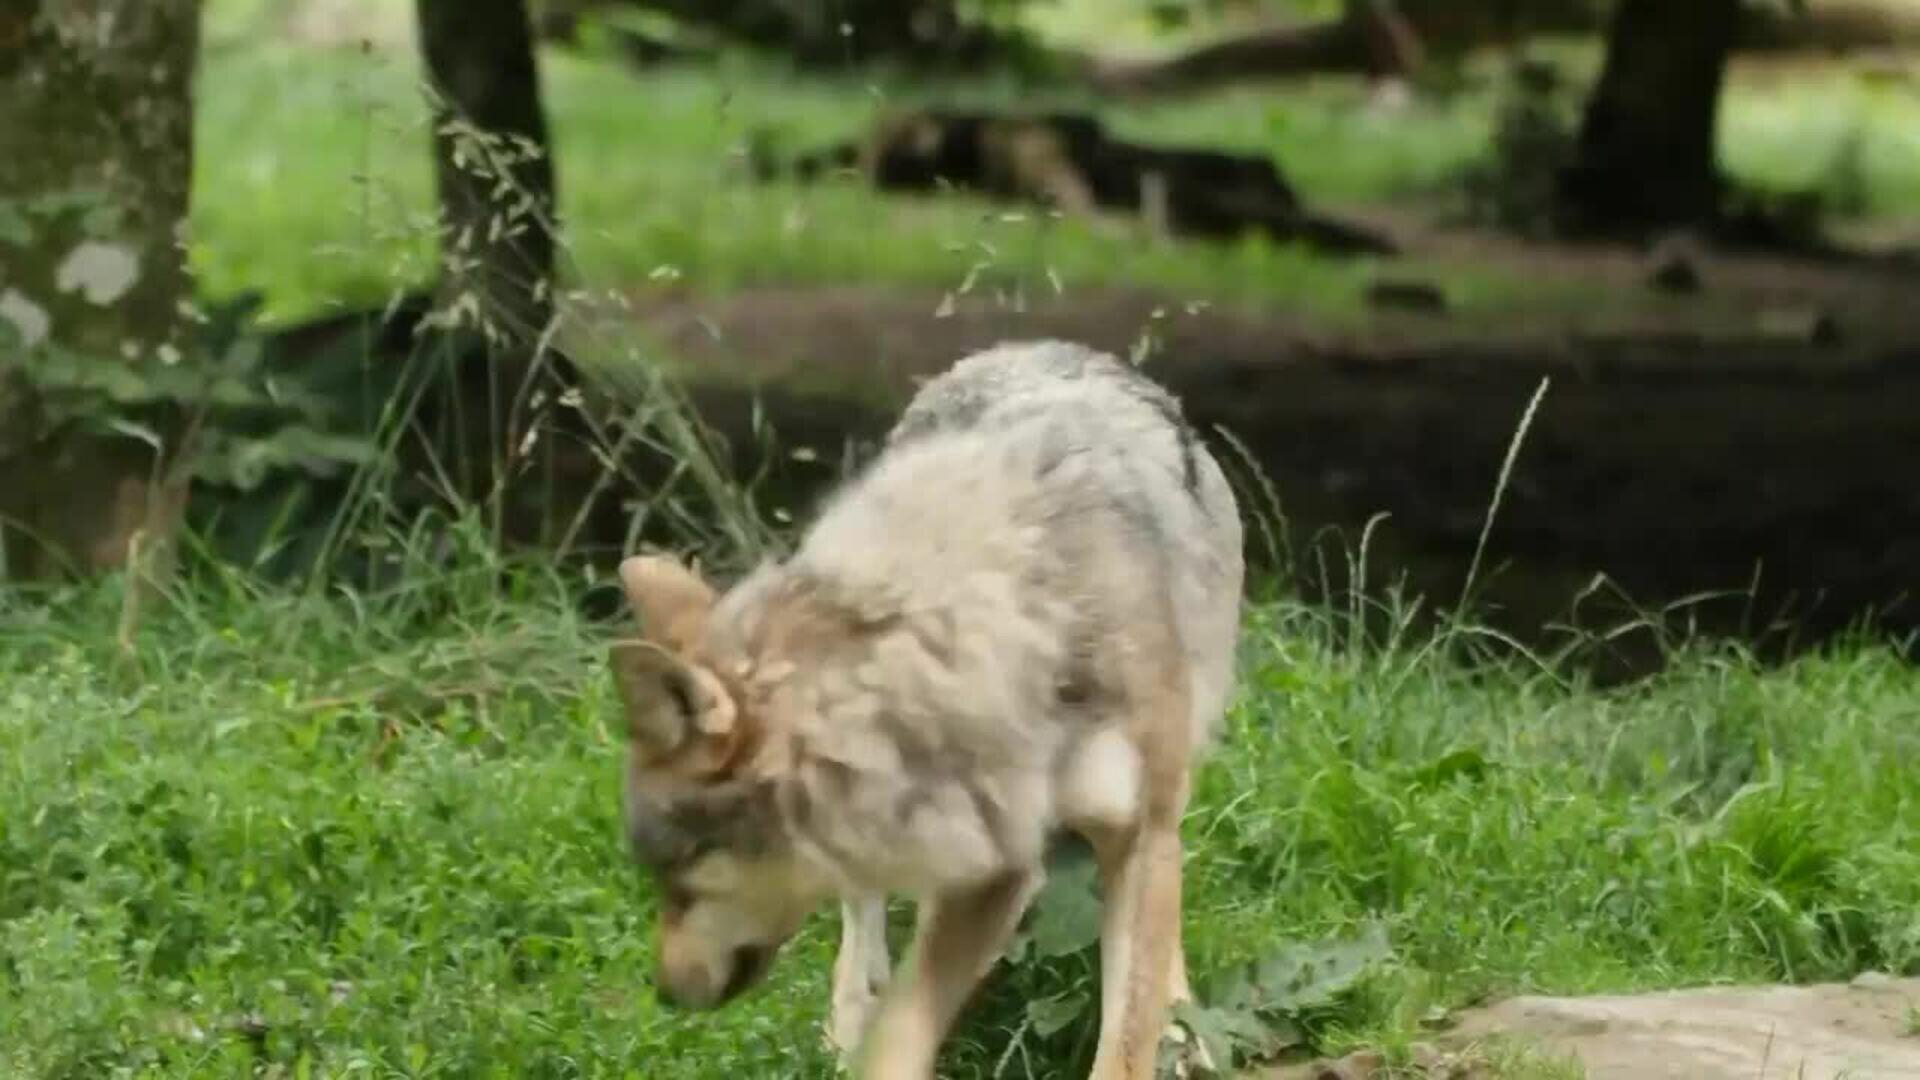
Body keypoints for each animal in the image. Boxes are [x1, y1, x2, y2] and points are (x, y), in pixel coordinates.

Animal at [609, 339, 1244, 1078]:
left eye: (678, 877)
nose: (664, 993)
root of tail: (1029, 347)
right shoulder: (990, 860)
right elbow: (899, 1031)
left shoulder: (1125, 834)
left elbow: (1127, 1029)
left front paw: (1167, 1031)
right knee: (863, 920)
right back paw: (849, 1015)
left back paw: (1186, 1032)